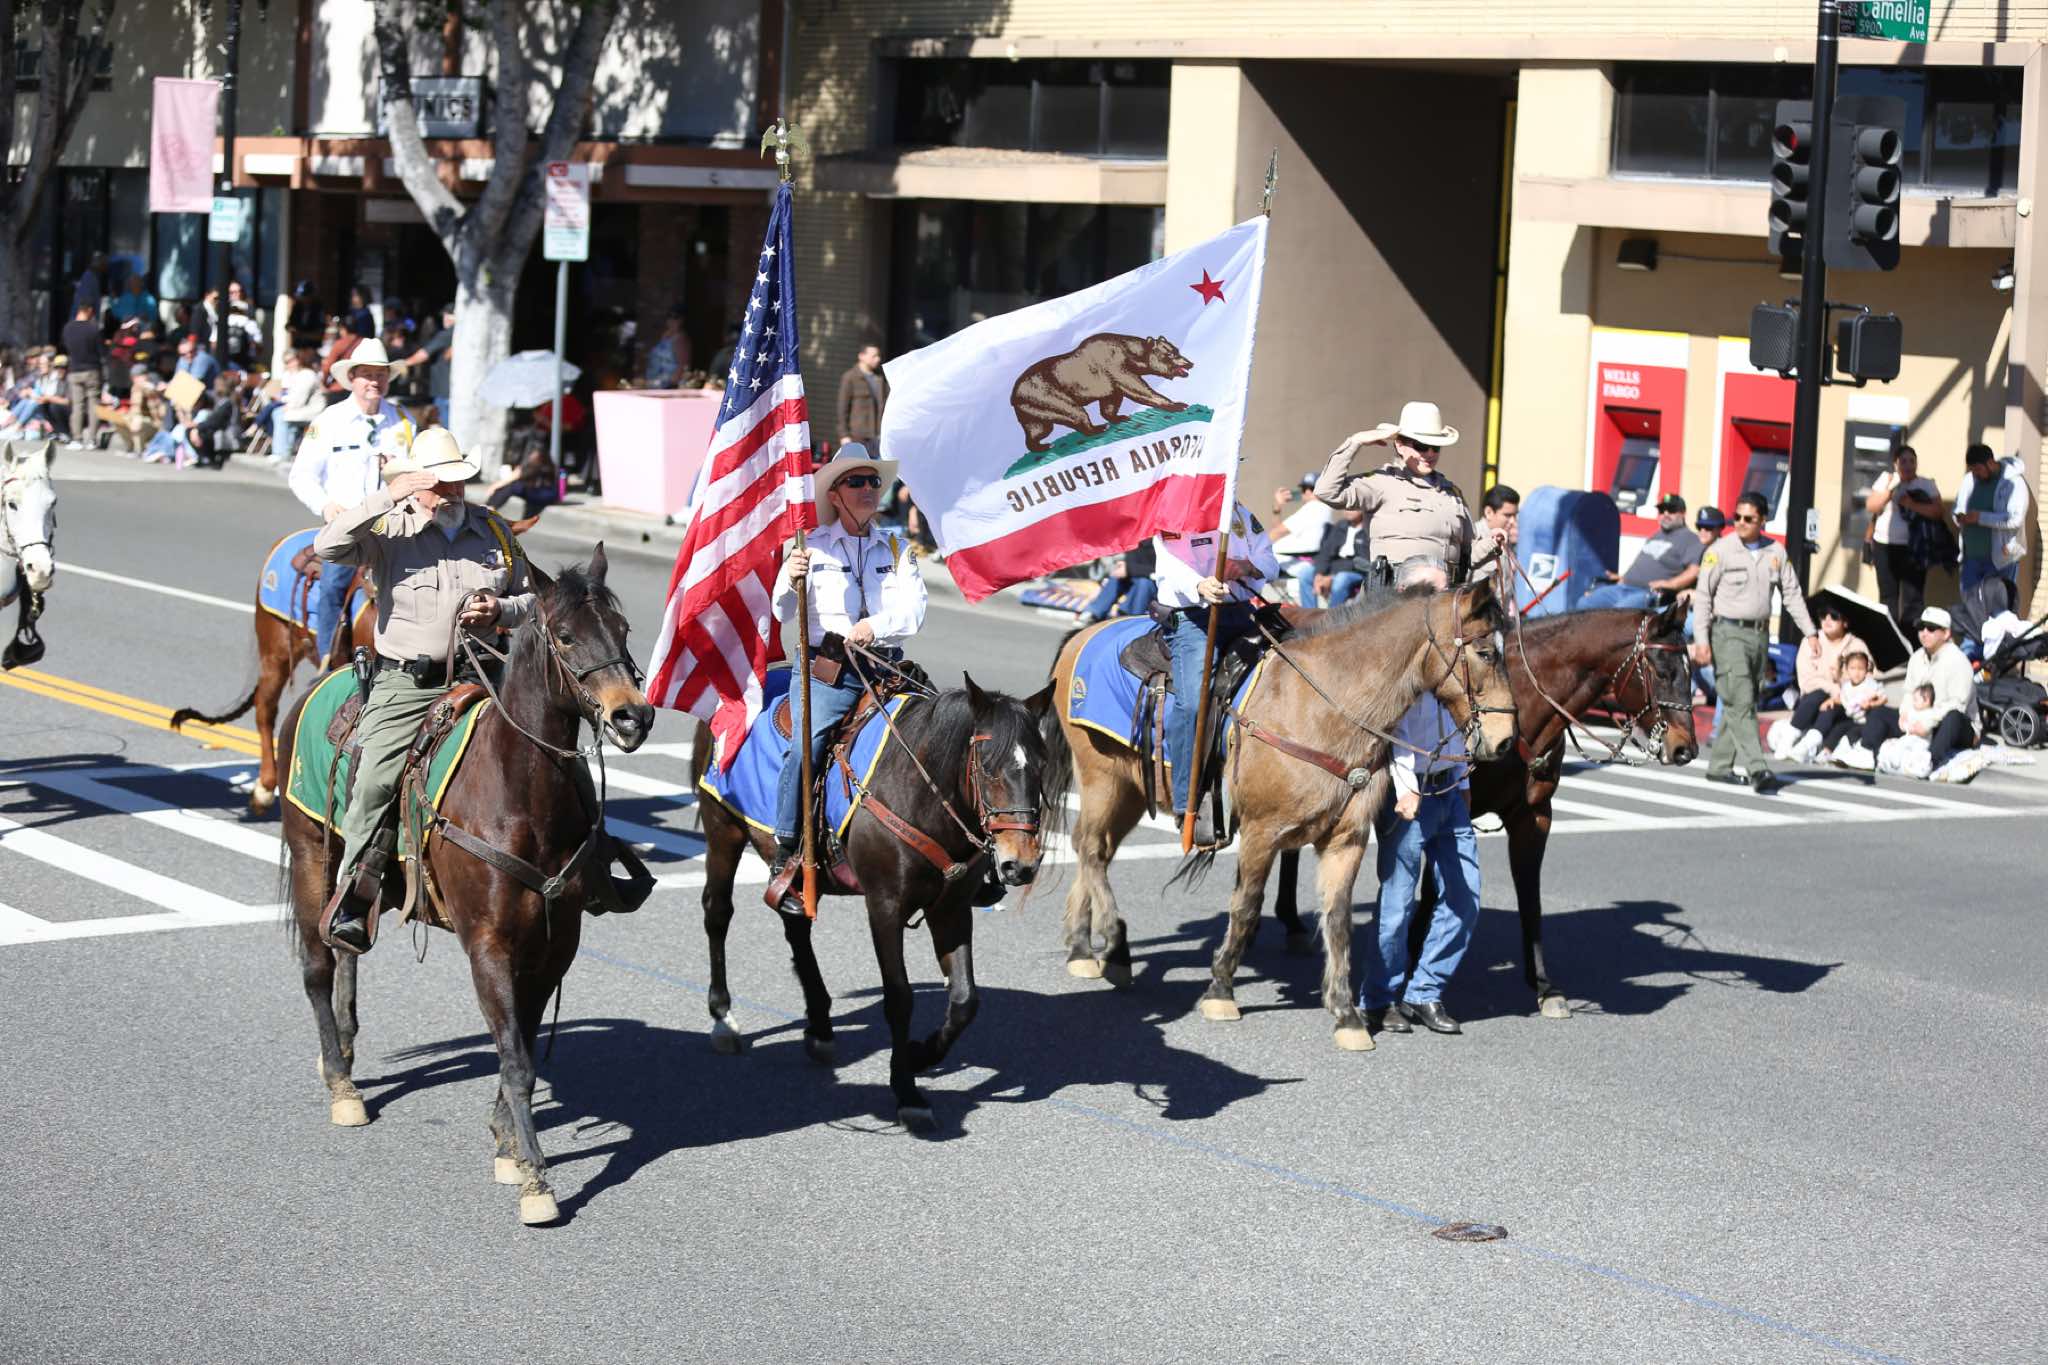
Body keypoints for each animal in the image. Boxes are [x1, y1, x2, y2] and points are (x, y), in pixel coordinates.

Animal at [277, 546, 652, 1226]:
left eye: (623, 629)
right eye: (564, 635)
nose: (632, 716)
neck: (518, 794)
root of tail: (323, 683)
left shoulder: (554, 946)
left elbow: (520, 1041)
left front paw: (506, 1143)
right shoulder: (488, 947)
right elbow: (517, 1058)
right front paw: (534, 1180)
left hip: (366, 880)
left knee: (346, 944)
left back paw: (342, 1047)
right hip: (312, 855)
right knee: (319, 966)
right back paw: (342, 1084)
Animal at [690, 672, 1063, 1127]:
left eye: (1042, 765)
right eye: (987, 767)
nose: (1020, 864)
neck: (923, 793)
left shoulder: (952, 909)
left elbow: (964, 999)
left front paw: (921, 1055)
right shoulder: (885, 905)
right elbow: (899, 997)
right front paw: (907, 1091)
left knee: (796, 924)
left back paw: (820, 1026)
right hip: (722, 830)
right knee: (718, 914)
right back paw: (723, 1018)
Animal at [1045, 578, 1520, 1050]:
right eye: (1485, 653)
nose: (1505, 741)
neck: (1323, 708)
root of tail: (1086, 635)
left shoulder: (1346, 839)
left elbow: (1337, 920)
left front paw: (1346, 1013)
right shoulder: (1262, 832)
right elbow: (1247, 907)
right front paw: (1220, 989)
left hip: (1127, 790)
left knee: (1094, 851)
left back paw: (1081, 946)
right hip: (1102, 778)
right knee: (1090, 849)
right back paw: (1115, 948)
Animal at [1268, 602, 1699, 1018]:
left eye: (1690, 672)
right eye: (1663, 672)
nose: (1686, 749)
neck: (1523, 703)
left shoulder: (1533, 816)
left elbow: (1530, 898)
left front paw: (1545, 987)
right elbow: (1432, 892)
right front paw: (1410, 973)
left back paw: (1291, 921)